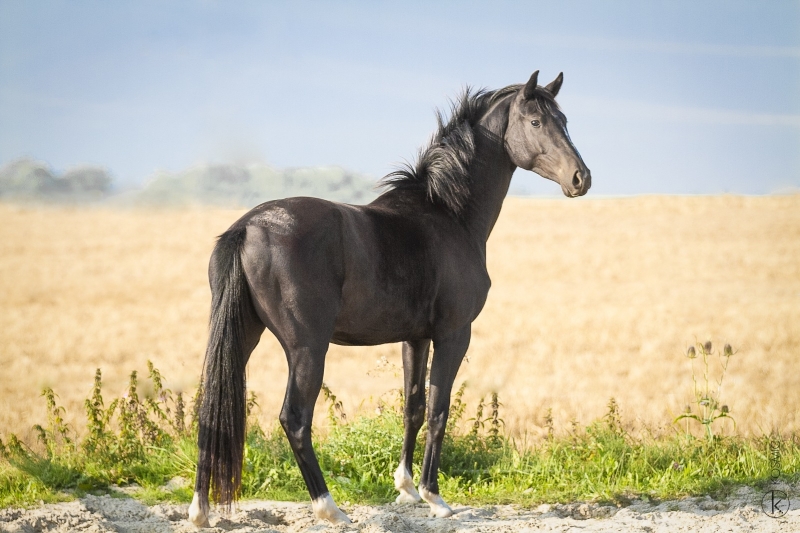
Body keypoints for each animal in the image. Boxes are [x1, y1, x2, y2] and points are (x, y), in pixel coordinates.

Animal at [188, 70, 588, 524]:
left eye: (564, 120)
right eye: (536, 122)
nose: (581, 178)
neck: (446, 214)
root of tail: (248, 227)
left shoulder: (414, 337)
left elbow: (412, 407)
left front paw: (407, 488)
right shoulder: (453, 334)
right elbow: (438, 409)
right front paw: (435, 497)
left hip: (243, 335)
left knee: (210, 408)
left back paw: (200, 511)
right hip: (307, 348)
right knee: (295, 419)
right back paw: (330, 509)